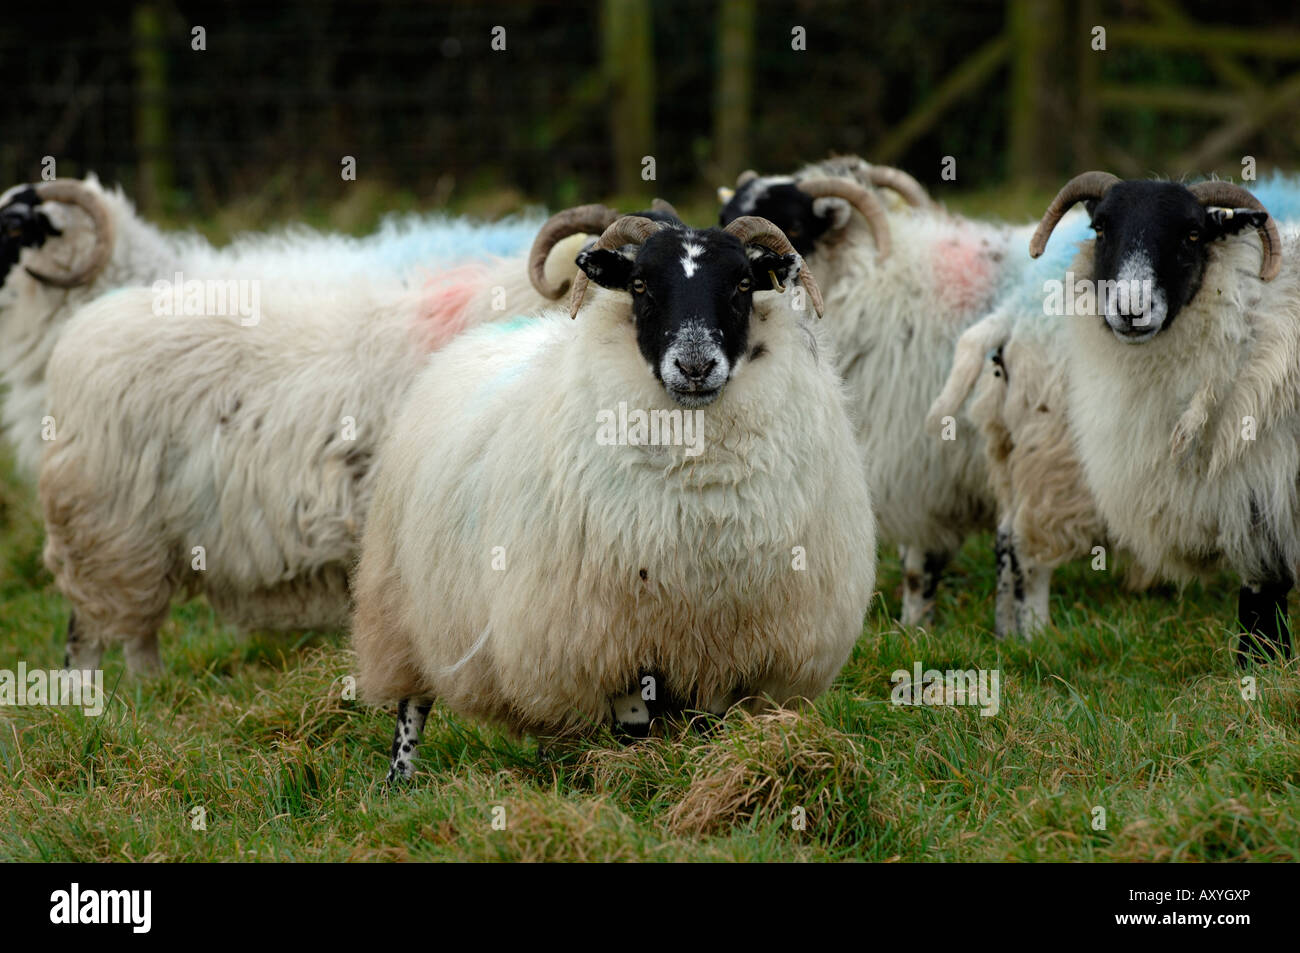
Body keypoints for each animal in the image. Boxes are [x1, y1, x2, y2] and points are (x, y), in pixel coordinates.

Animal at [350, 215, 876, 781]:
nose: (695, 367)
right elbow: (633, 724)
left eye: (741, 284)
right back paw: (400, 781)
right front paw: (638, 777)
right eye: (640, 284)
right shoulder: (606, 637)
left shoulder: (724, 643)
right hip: (400, 605)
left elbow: (707, 726)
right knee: (412, 705)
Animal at [719, 155, 1082, 627]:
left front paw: (918, 626)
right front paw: (915, 627)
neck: (875, 283)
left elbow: (924, 560)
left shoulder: (921, 458)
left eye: (793, 225)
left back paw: (1035, 631)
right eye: (723, 220)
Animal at [1025, 171, 1295, 665]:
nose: (1131, 310)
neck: (1246, 331)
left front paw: (1262, 666)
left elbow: (1262, 594)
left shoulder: (1265, 487)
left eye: (1193, 234)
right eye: (1100, 229)